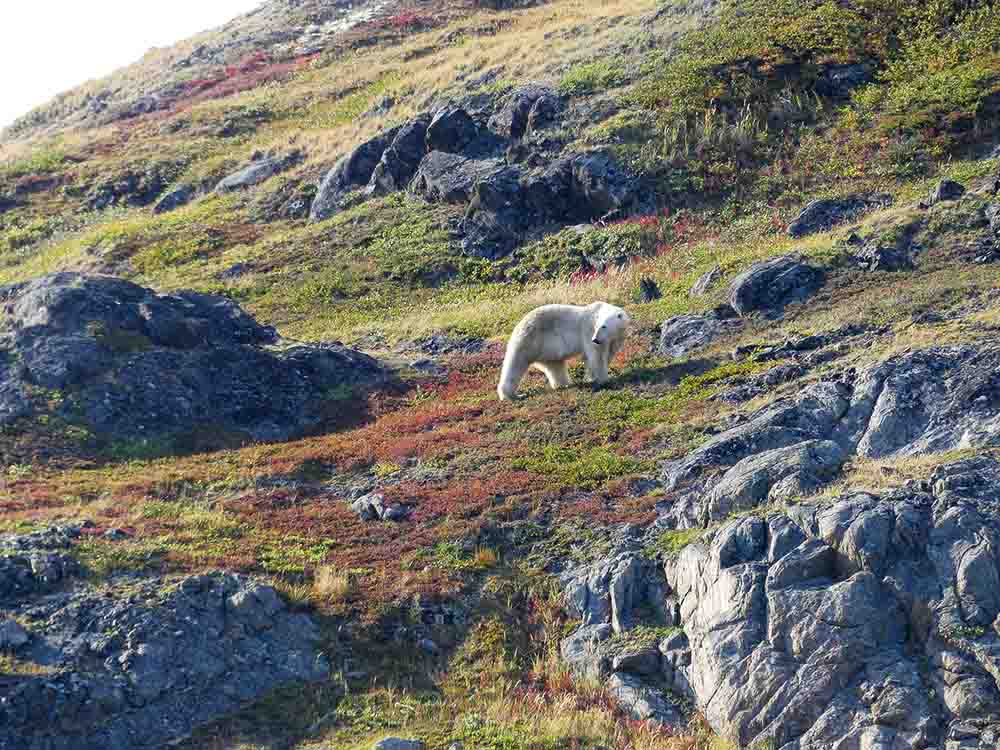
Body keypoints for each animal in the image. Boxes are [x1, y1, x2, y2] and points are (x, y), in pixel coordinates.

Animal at [496, 302, 628, 402]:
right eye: (597, 327)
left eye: (604, 326)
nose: (595, 339)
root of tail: (518, 325)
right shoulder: (588, 331)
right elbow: (597, 356)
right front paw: (604, 379)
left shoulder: (616, 338)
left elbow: (606, 354)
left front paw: (591, 377)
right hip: (530, 340)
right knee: (515, 364)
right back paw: (511, 395)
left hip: (547, 348)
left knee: (555, 365)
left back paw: (563, 384)